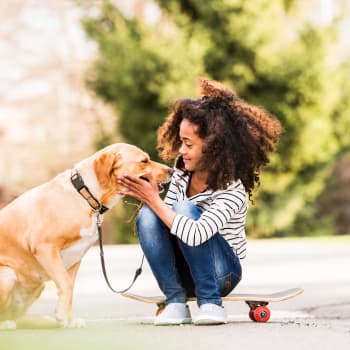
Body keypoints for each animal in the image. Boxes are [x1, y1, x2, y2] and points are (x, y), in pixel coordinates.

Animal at [0, 142, 171, 328]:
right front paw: (63, 317)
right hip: (7, 274)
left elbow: (70, 287)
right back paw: (6, 324)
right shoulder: (44, 247)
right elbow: (66, 284)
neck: (85, 195)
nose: (171, 170)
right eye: (144, 161)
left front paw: (68, 320)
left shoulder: (76, 258)